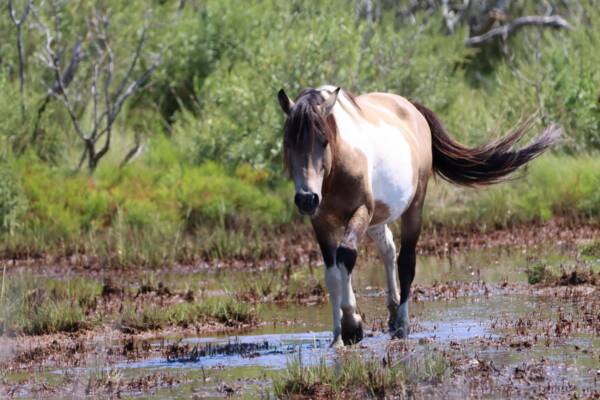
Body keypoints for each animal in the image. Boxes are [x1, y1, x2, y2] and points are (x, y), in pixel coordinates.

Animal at [276, 85, 556, 346]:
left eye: (324, 141)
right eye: (288, 143)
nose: (307, 198)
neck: (337, 167)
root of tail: (411, 108)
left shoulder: (361, 212)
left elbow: (346, 257)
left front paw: (352, 326)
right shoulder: (321, 222)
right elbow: (332, 273)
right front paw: (338, 335)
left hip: (412, 208)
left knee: (405, 262)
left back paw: (401, 325)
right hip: (378, 217)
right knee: (388, 250)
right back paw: (391, 314)